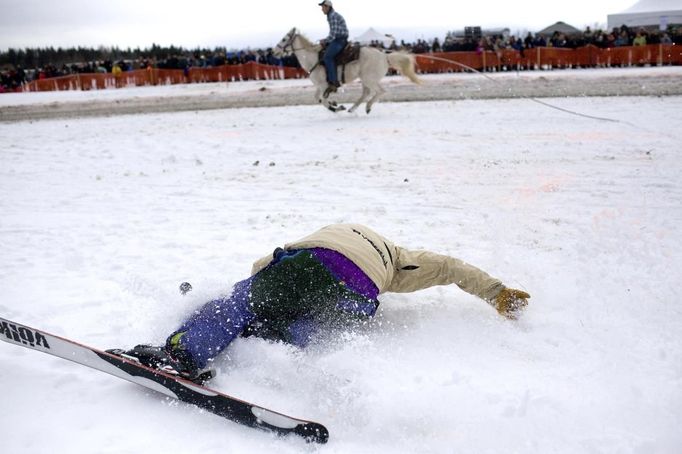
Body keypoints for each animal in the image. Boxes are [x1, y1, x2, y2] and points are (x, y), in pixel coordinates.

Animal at [272, 27, 420, 113]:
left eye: (284, 39)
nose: (273, 52)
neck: (313, 59)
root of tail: (384, 56)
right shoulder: (320, 86)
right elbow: (318, 98)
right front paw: (335, 104)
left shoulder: (324, 85)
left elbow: (322, 99)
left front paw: (335, 108)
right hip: (365, 79)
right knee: (366, 93)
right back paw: (353, 108)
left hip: (369, 79)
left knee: (380, 91)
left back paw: (367, 107)